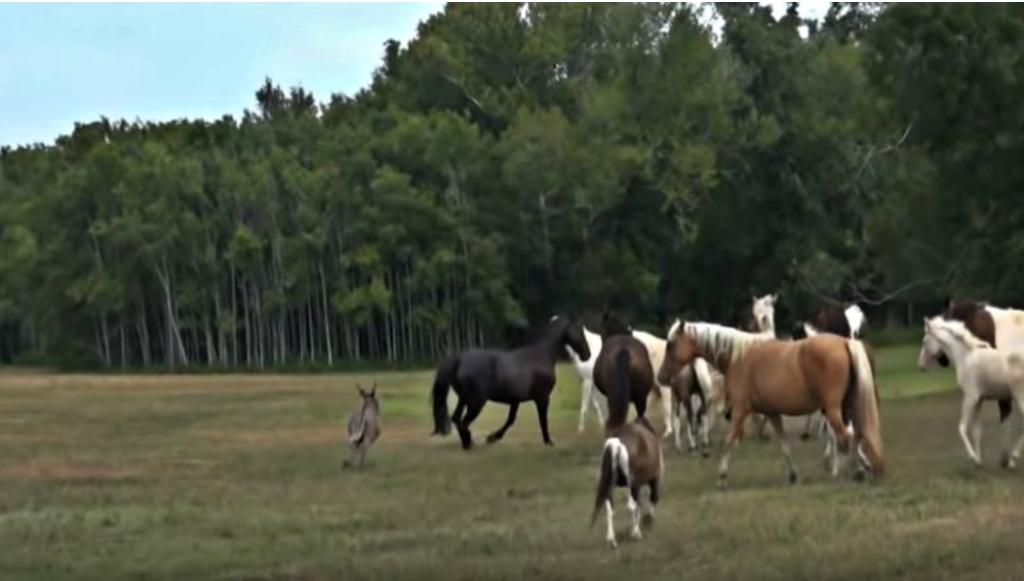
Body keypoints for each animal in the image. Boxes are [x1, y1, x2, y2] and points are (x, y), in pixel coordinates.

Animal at [659, 319, 884, 489]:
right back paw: (861, 468)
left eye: (670, 344)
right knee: (854, 435)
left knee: (846, 437)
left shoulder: (740, 411)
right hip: (845, 407)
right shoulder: (771, 413)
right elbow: (784, 444)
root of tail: (845, 342)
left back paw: (851, 471)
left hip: (832, 409)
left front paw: (722, 477)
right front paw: (794, 475)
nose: (661, 376)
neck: (737, 357)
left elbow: (728, 441)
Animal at [917, 315, 1024, 471]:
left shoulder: (970, 397)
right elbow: (977, 431)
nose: (921, 366)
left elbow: (962, 427)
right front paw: (979, 461)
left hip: (1020, 397)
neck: (965, 357)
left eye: (925, 342)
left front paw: (973, 458)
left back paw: (1012, 460)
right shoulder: (979, 400)